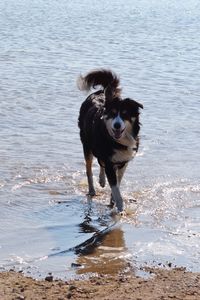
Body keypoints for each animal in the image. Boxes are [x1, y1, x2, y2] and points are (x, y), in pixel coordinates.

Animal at [77, 69, 143, 212]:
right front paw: (120, 208)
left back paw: (102, 180)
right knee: (89, 169)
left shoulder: (123, 162)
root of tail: (100, 92)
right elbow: (115, 187)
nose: (117, 125)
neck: (117, 141)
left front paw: (113, 200)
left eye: (124, 114)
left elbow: (117, 183)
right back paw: (92, 190)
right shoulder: (109, 161)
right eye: (112, 114)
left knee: (100, 163)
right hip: (87, 145)